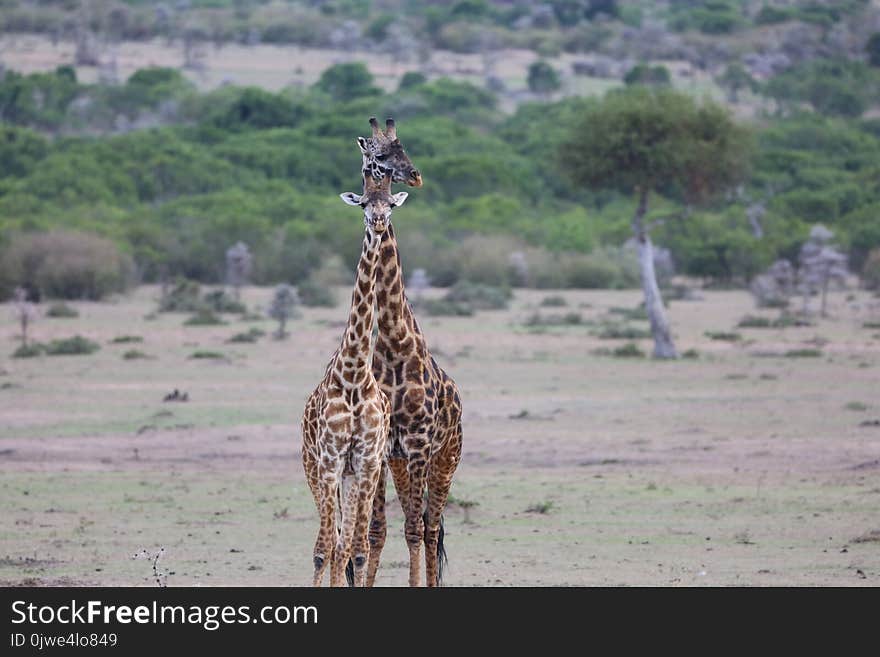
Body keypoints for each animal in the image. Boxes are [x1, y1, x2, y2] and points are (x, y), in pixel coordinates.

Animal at [300, 168, 410, 584]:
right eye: (363, 203)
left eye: (390, 203)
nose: (377, 222)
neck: (353, 374)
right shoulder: (330, 460)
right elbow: (323, 550)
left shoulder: (365, 462)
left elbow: (357, 550)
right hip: (313, 467)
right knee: (330, 543)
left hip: (353, 474)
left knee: (347, 544)